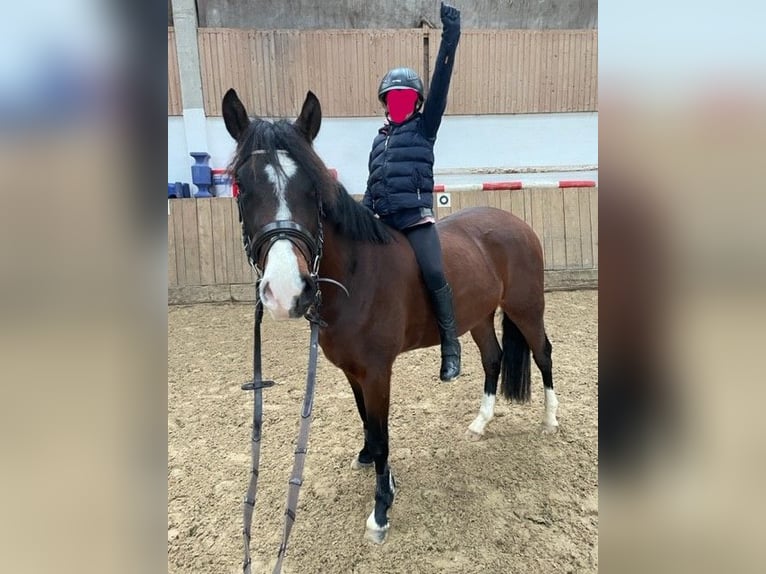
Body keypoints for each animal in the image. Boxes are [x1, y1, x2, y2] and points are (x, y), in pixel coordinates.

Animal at [222, 88, 560, 548]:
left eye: (314, 189)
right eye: (241, 186)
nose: (286, 290)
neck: (357, 274)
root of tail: (516, 222)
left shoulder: (378, 371)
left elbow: (383, 436)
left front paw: (381, 510)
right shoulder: (352, 371)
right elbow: (367, 424)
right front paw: (370, 462)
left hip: (527, 308)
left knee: (543, 353)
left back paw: (550, 419)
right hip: (478, 317)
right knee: (493, 358)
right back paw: (480, 422)